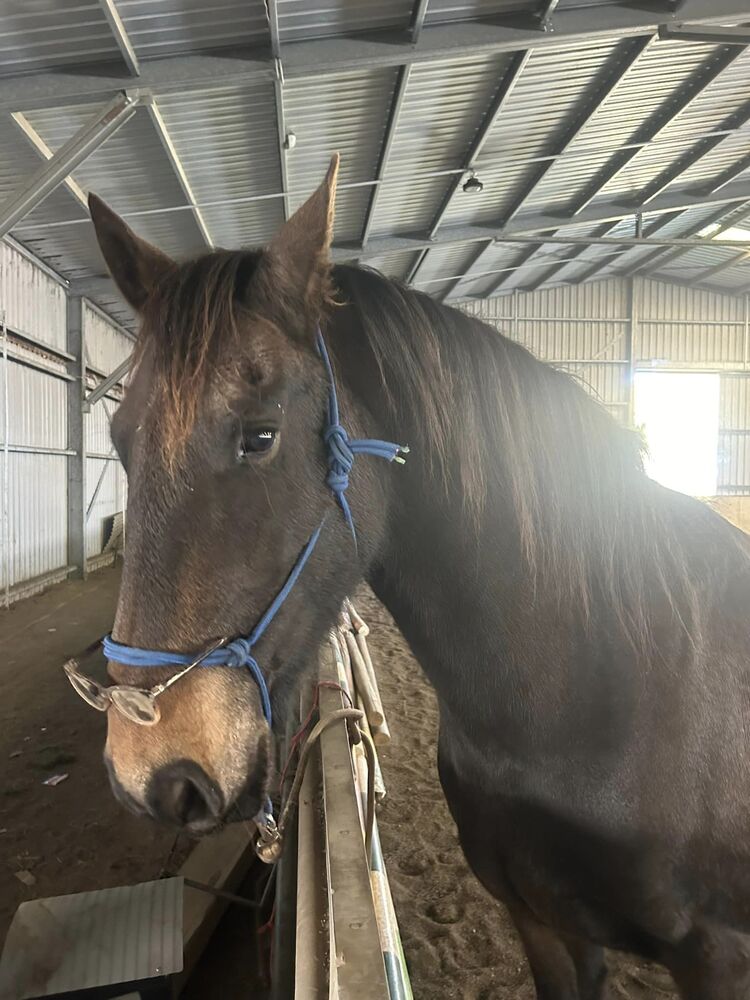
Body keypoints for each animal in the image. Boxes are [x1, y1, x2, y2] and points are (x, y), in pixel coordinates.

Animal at [79, 155, 750, 999]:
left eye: (260, 436)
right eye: (118, 439)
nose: (149, 774)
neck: (607, 691)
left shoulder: (717, 957)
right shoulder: (544, 924)